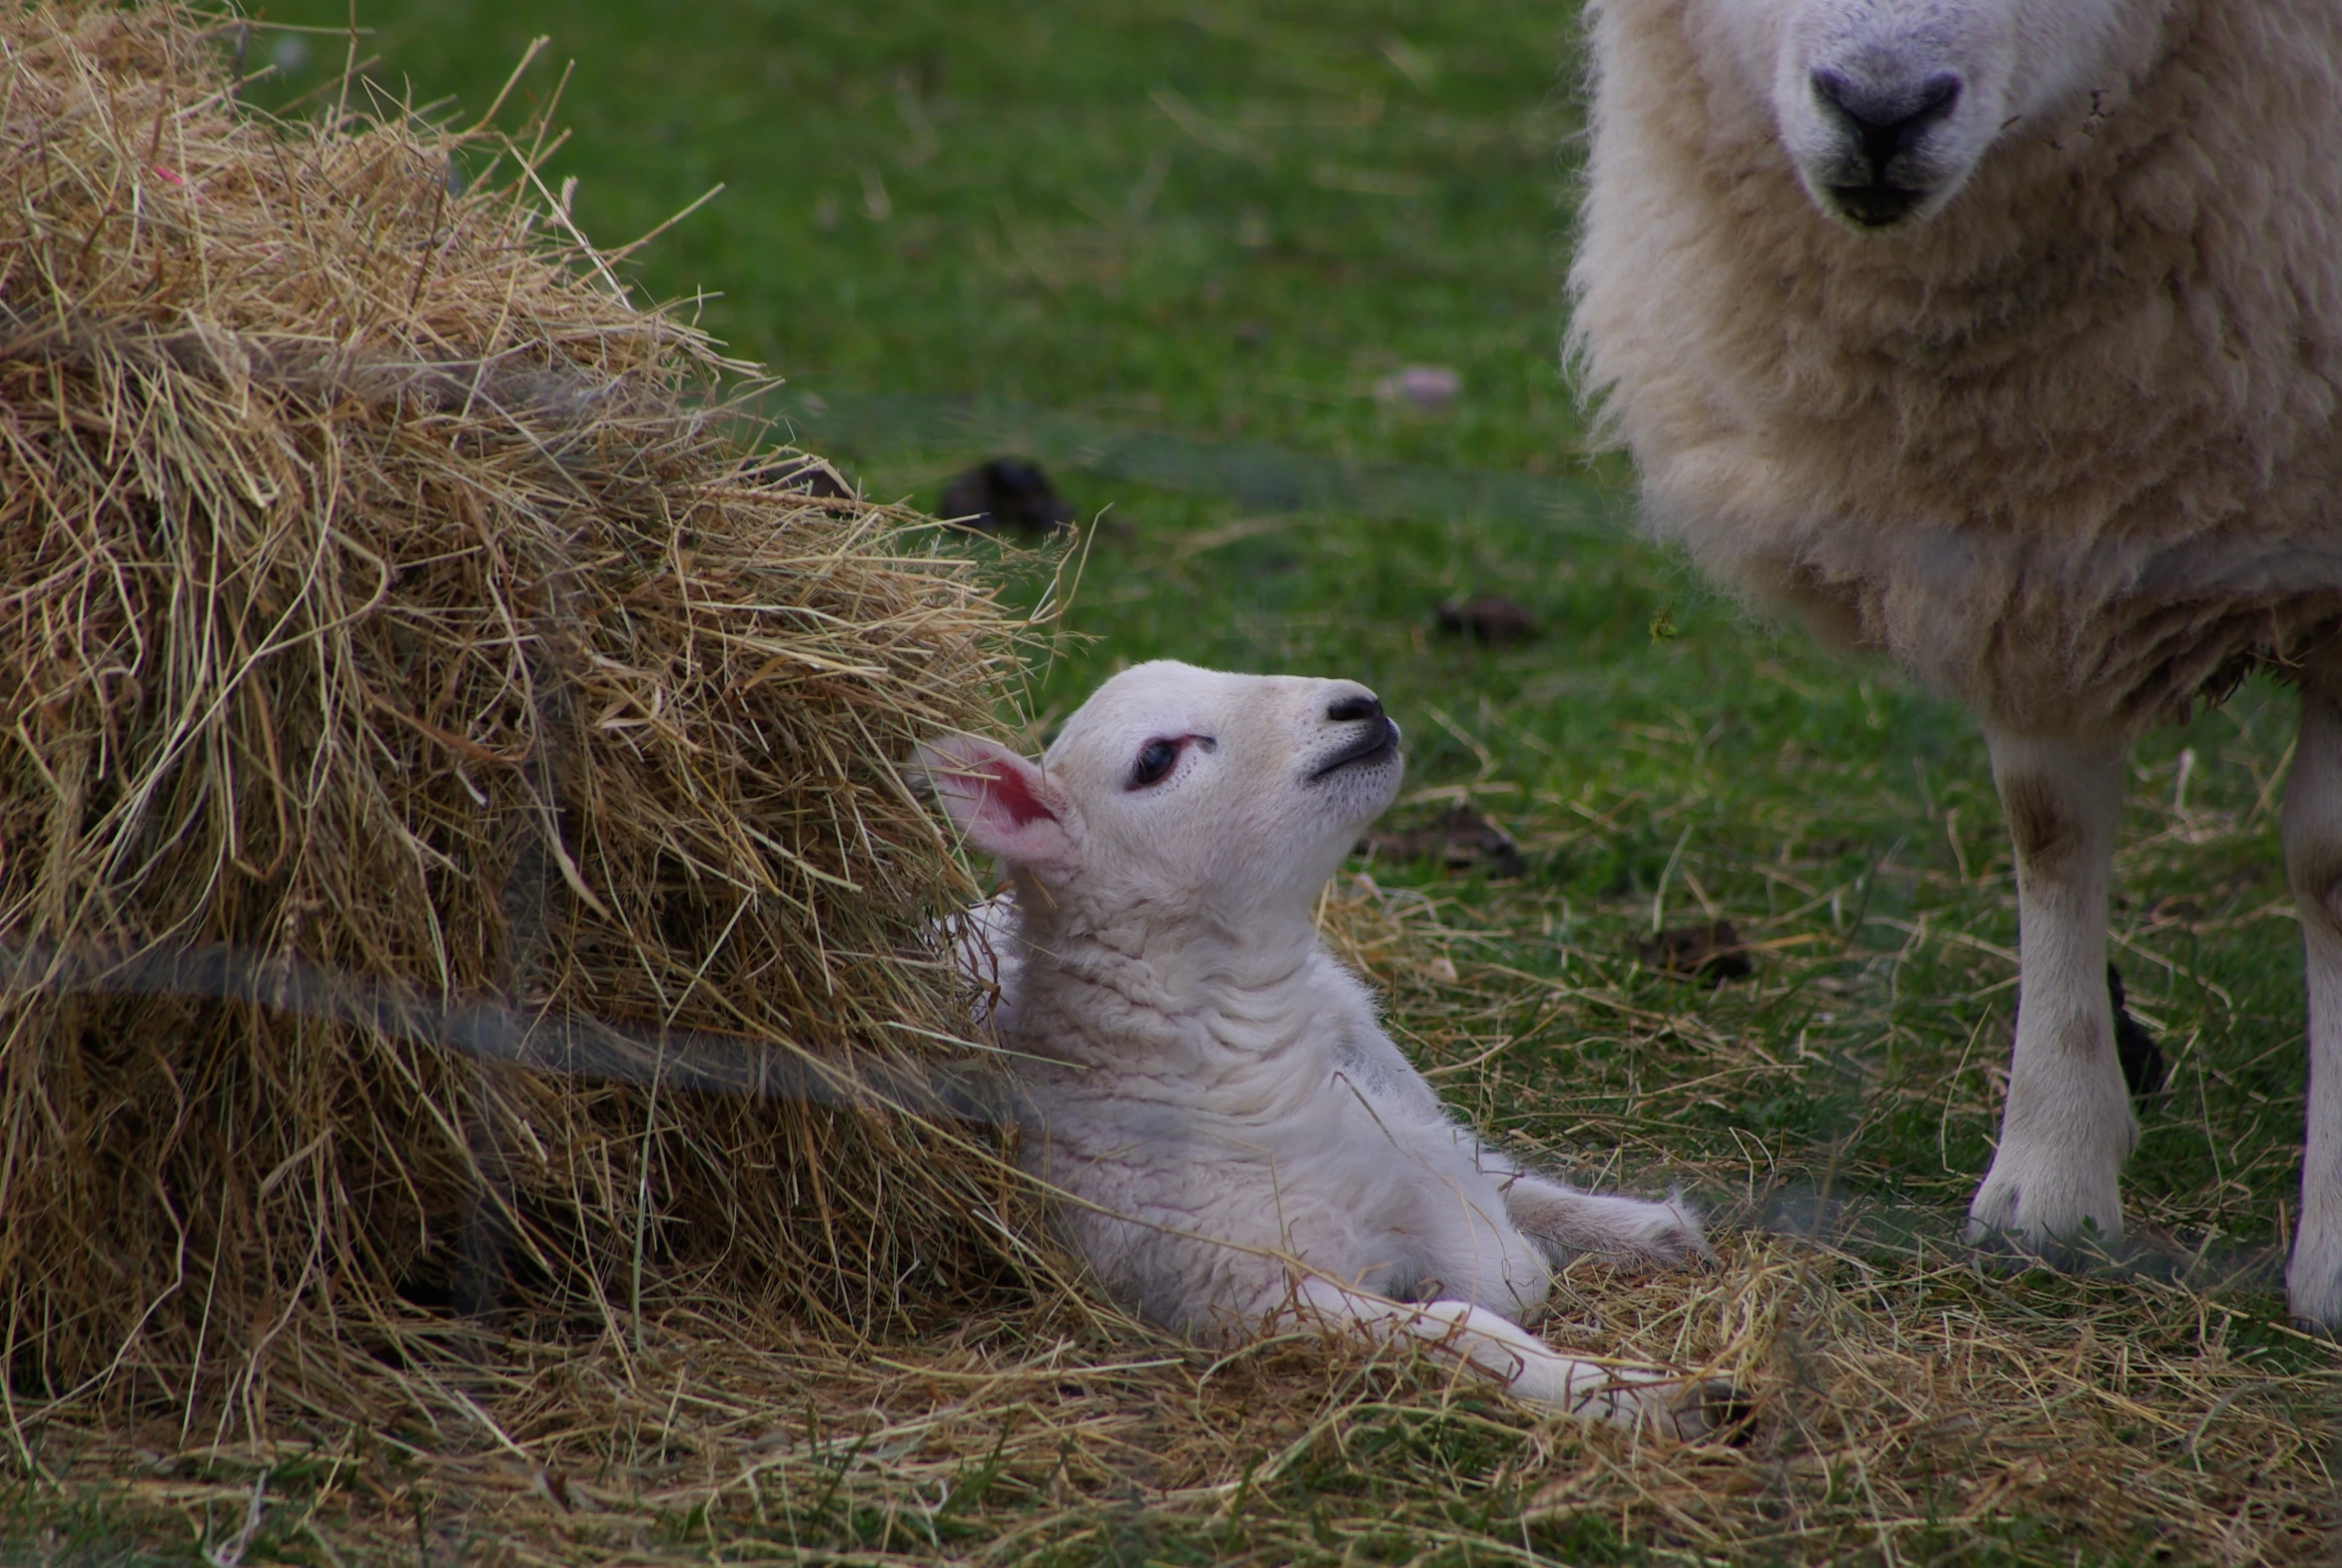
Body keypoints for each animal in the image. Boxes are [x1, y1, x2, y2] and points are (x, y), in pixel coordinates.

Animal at [913, 664, 1742, 1441]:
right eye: (1154, 759)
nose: (1359, 705)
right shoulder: (1248, 1295)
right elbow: (1467, 1326)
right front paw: (1653, 1398)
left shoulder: (1390, 1140)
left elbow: (1504, 1249)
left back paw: (1649, 1231)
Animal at [1564, 0, 2342, 1328]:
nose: (1877, 111)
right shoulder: (2038, 518)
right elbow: (2047, 826)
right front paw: (2049, 1183)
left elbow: (2328, 870)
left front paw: (2335, 1246)